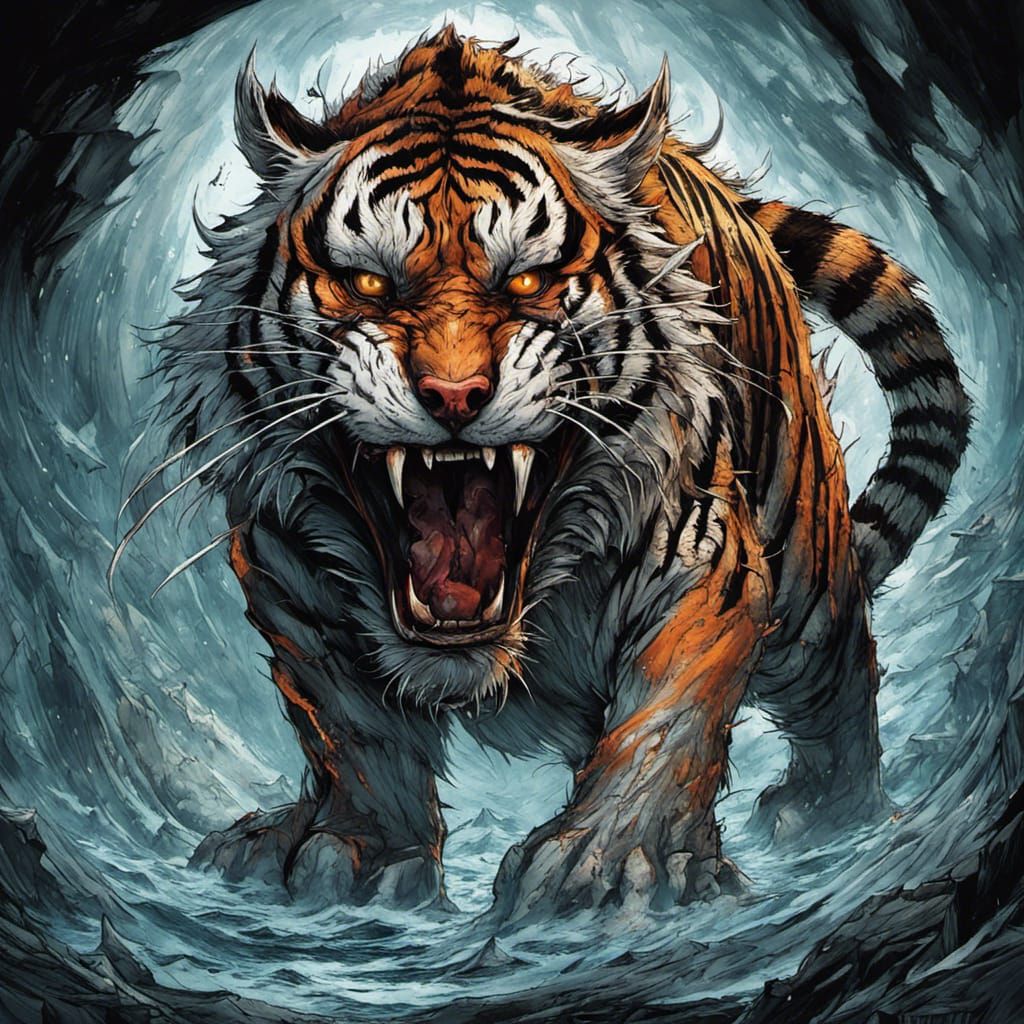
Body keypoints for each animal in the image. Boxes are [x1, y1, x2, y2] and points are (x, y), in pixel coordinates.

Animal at [136, 26, 969, 917]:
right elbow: (354, 729)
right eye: (367, 282)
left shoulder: (704, 561)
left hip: (807, 574)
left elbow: (668, 715)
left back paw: (829, 815)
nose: (453, 392)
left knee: (843, 681)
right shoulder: (291, 578)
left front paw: (612, 863)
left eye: (528, 281)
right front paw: (352, 851)